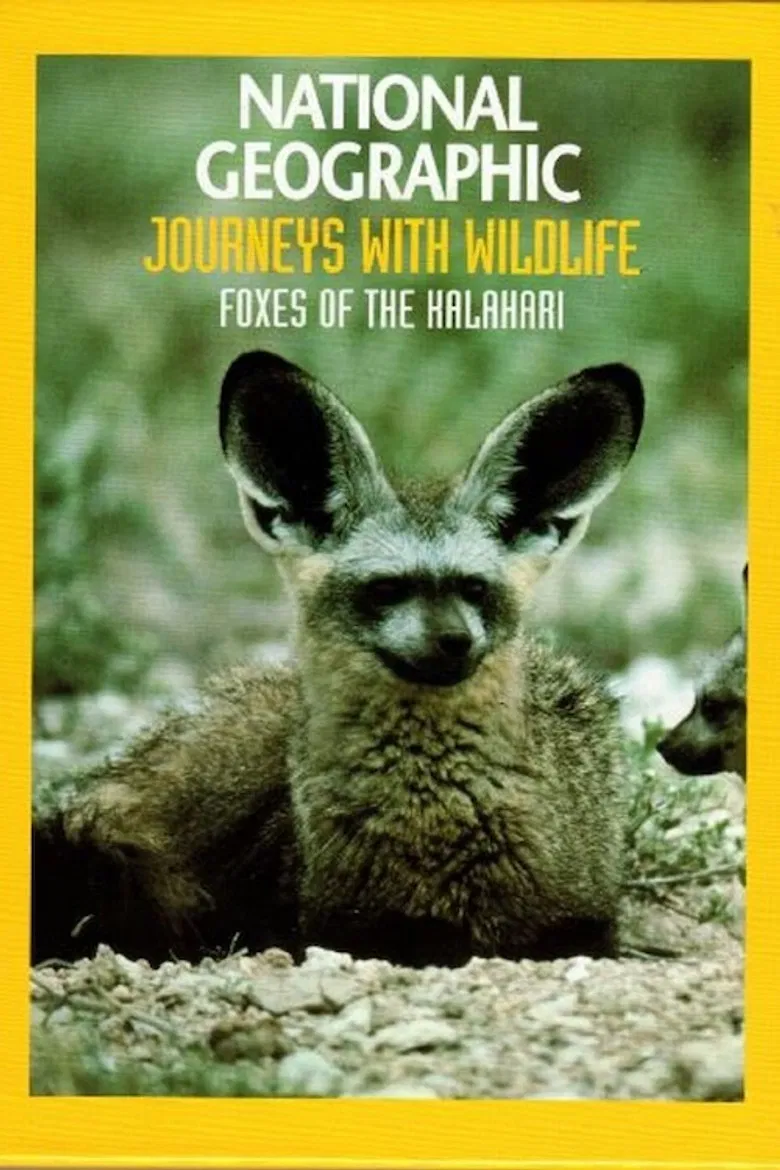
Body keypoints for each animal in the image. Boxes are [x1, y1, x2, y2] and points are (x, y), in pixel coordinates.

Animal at [33, 350, 644, 968]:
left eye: (474, 588)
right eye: (386, 589)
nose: (454, 642)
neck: (431, 814)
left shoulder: (579, 925)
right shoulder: (330, 923)